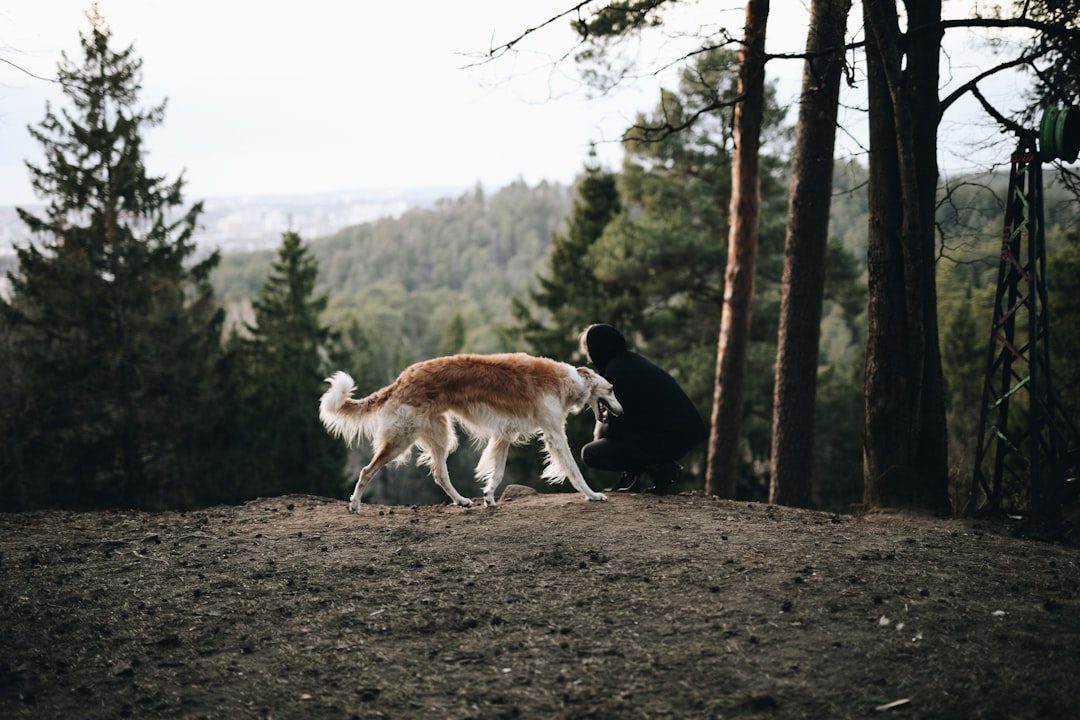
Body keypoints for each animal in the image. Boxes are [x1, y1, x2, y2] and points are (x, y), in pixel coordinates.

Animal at [315, 351, 622, 509]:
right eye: (611, 389)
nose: (622, 411)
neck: (568, 381)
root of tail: (402, 378)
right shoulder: (554, 434)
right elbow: (574, 469)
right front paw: (593, 495)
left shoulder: (504, 435)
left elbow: (497, 472)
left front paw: (489, 497)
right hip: (403, 438)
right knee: (367, 470)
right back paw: (354, 503)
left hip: (440, 435)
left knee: (439, 474)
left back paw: (462, 500)